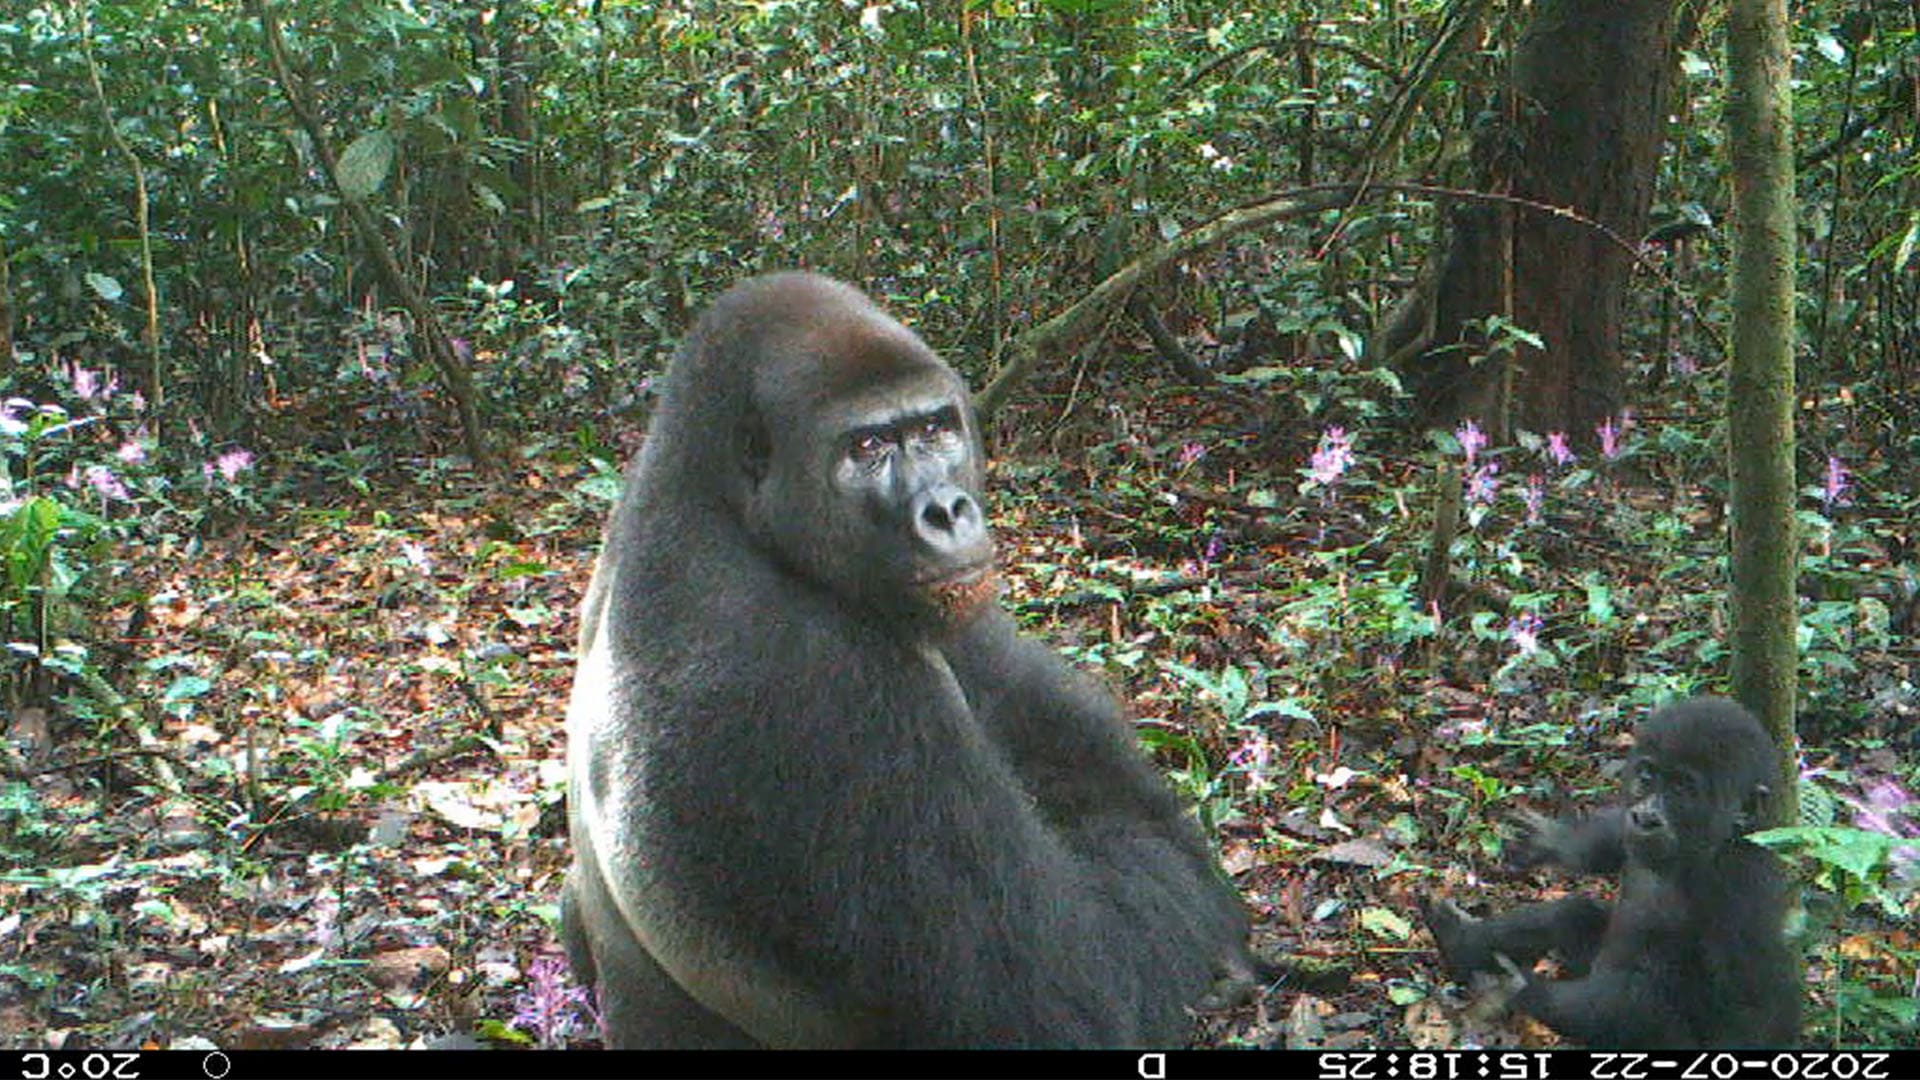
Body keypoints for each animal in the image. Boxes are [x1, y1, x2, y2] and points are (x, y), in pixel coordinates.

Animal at [560, 269, 1251, 1045]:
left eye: (933, 429)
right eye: (866, 446)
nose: (945, 511)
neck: (717, 502)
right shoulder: (816, 677)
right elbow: (1078, 992)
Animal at [1428, 699, 1797, 1045]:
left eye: (1683, 789)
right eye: (1647, 776)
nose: (1646, 817)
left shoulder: (1739, 893)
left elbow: (1750, 1010)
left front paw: (1517, 989)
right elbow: (1614, 840)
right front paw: (1558, 841)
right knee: (1571, 913)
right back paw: (1458, 942)